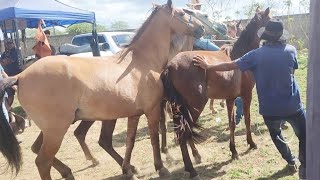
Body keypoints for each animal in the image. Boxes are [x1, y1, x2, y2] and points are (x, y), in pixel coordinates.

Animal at [0, 0, 205, 179]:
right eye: (181, 13)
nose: (201, 28)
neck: (141, 62)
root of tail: (20, 76)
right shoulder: (152, 110)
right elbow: (154, 138)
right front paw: (161, 168)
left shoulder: (134, 114)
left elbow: (130, 141)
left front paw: (129, 169)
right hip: (56, 130)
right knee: (42, 161)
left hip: (54, 129)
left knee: (40, 151)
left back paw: (69, 172)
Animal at [160, 7, 270, 178]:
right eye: (271, 20)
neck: (240, 56)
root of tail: (171, 66)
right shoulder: (246, 96)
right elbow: (247, 120)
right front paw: (251, 143)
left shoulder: (230, 99)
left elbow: (232, 124)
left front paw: (234, 151)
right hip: (195, 106)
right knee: (184, 133)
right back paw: (191, 169)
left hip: (180, 108)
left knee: (184, 132)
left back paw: (195, 157)